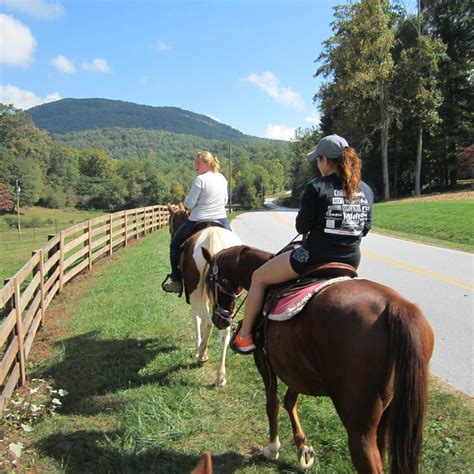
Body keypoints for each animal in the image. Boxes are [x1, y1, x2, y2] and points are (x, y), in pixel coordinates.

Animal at [166, 202, 241, 386]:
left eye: (171, 222)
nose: (171, 234)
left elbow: (196, 320)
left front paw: (198, 347)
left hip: (195, 293)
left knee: (207, 322)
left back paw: (201, 355)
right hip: (228, 300)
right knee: (224, 329)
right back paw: (220, 376)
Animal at [202, 244, 436, 474]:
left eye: (211, 281)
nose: (219, 319)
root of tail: (395, 307)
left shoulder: (264, 361)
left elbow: (272, 403)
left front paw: (273, 448)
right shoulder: (294, 365)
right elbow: (290, 402)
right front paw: (302, 448)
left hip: (359, 424)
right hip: (388, 415)